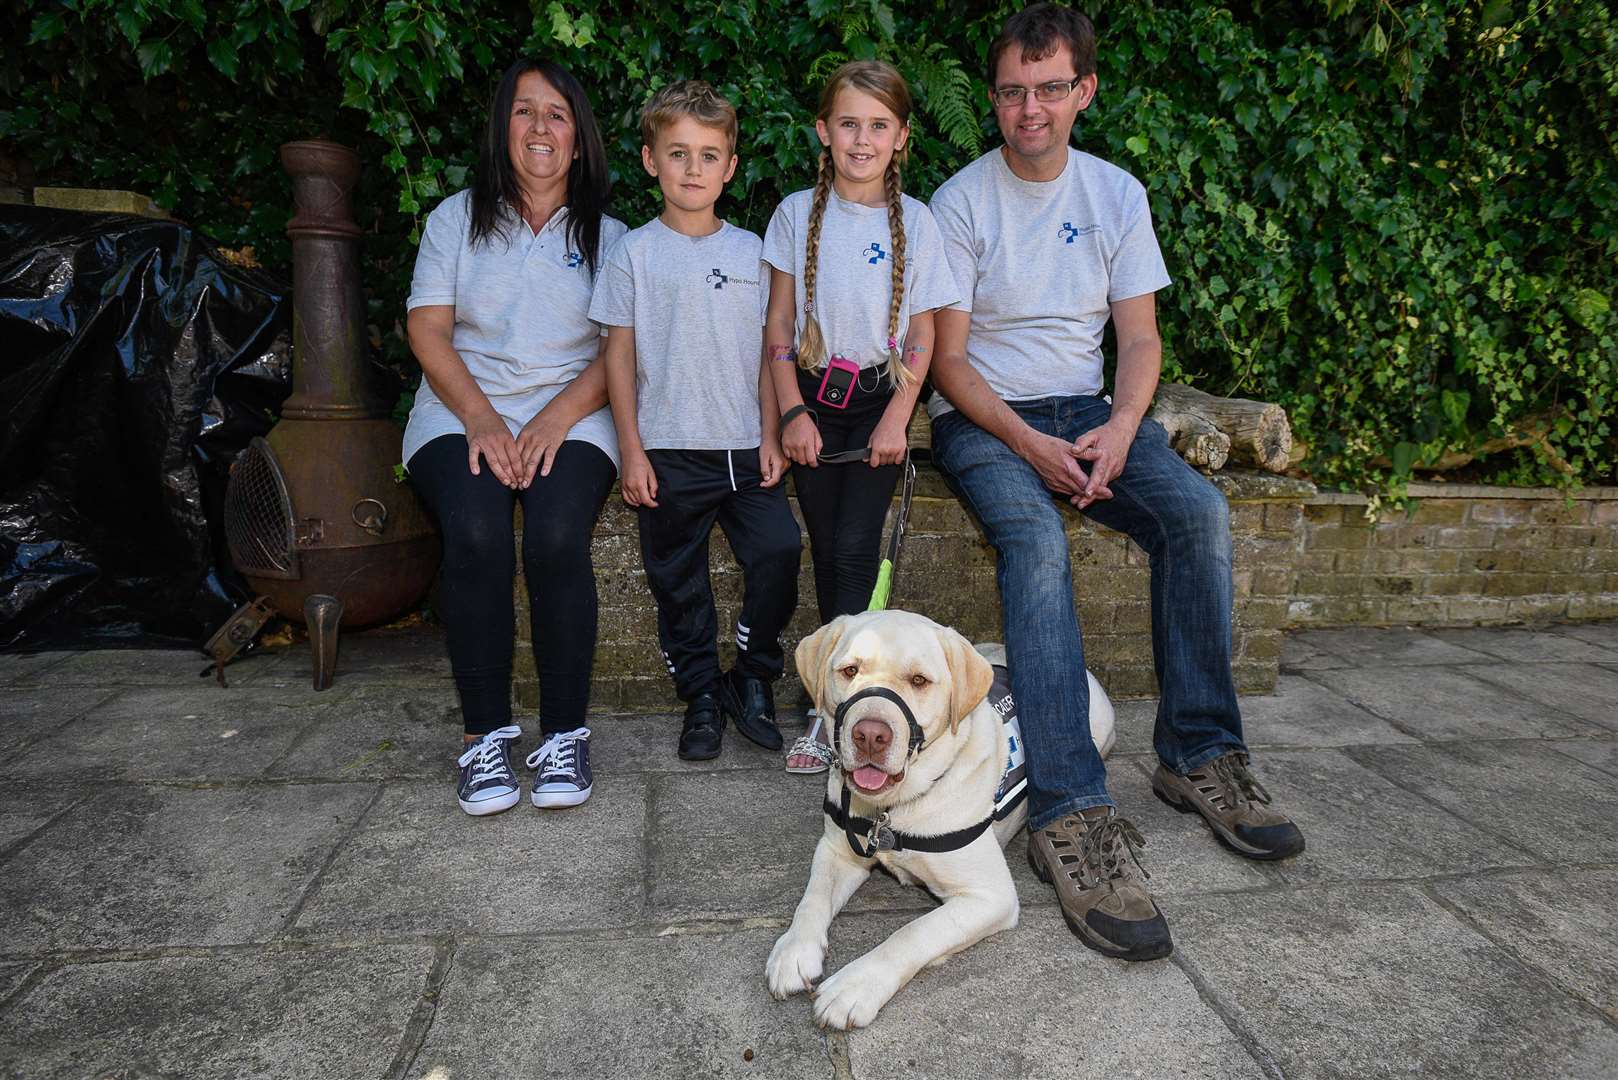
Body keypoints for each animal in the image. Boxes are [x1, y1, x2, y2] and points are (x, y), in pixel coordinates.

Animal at [763, 608, 1016, 1029]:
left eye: (919, 681)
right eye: (850, 670)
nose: (869, 735)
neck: (891, 809)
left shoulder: (990, 895)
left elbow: (913, 932)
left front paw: (855, 985)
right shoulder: (836, 850)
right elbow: (812, 898)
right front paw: (794, 951)